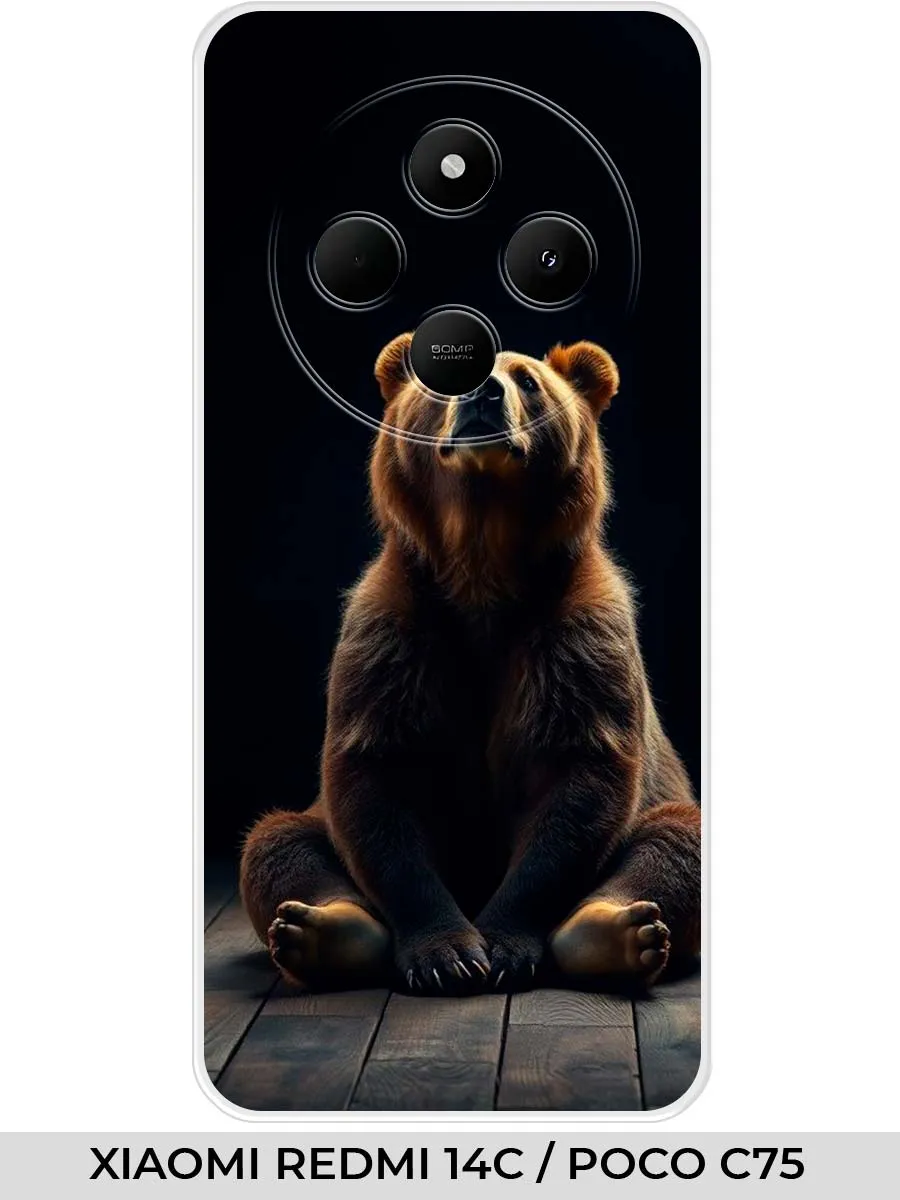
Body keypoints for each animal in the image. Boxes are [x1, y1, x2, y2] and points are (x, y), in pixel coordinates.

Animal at [239, 334, 700, 994]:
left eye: (528, 379)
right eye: (441, 378)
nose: (484, 393)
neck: (481, 562)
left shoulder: (577, 633)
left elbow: (581, 776)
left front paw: (503, 945)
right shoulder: (393, 631)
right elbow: (375, 776)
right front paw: (447, 953)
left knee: (678, 836)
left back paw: (615, 932)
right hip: (312, 818)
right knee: (275, 839)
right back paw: (323, 930)